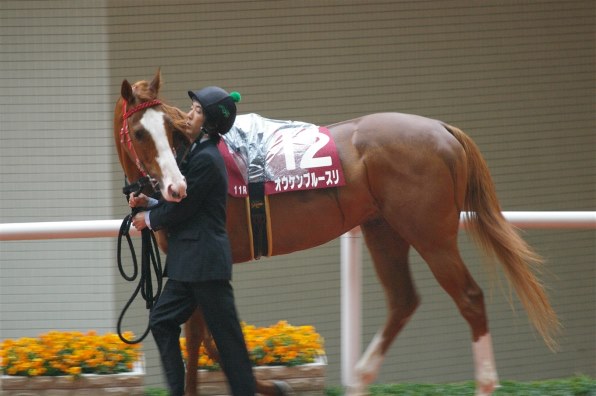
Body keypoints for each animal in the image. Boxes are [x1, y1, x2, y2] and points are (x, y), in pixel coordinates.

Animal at [113, 69, 560, 394]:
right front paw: (268, 384)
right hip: (384, 231)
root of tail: (442, 128)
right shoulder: (195, 270)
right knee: (403, 301)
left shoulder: (193, 265)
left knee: (469, 298)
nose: (176, 188)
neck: (194, 150)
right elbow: (208, 338)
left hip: (431, 234)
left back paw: (484, 382)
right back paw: (360, 378)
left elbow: (199, 339)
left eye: (167, 128)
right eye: (140, 132)